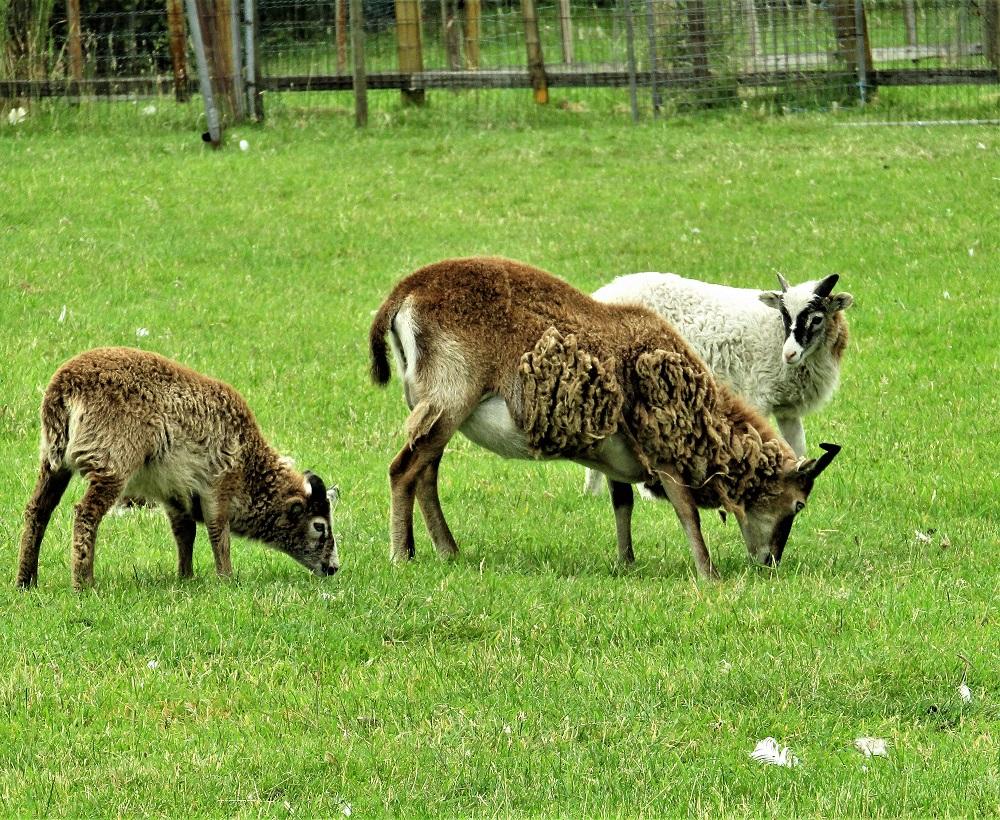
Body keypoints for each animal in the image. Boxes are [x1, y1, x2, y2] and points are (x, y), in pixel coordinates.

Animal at [16, 346, 340, 588]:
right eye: (319, 526)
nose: (334, 568)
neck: (251, 469)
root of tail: (62, 391)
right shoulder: (218, 484)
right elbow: (217, 533)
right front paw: (226, 578)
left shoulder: (174, 492)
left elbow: (185, 533)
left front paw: (186, 577)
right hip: (112, 462)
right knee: (85, 514)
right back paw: (83, 584)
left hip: (54, 459)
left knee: (37, 510)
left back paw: (26, 581)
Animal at [584, 274, 856, 494]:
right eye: (784, 315)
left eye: (817, 319)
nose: (789, 354)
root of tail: (603, 294)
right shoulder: (757, 398)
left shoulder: (787, 409)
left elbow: (798, 448)